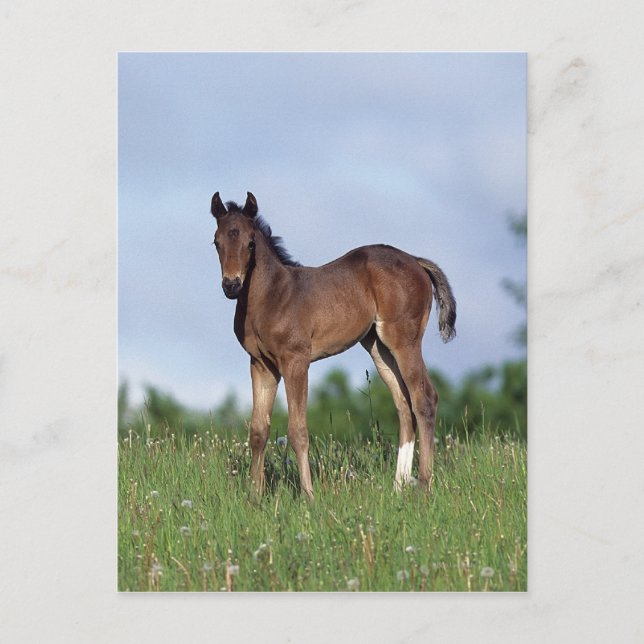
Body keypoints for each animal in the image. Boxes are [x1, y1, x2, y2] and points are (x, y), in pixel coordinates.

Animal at [210, 191, 456, 500]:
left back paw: (423, 485)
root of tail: (415, 260)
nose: (231, 285)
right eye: (216, 242)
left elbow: (298, 430)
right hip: (378, 347)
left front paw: (308, 495)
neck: (272, 296)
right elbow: (257, 431)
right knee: (404, 405)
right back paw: (397, 486)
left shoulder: (296, 361)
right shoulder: (261, 365)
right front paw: (254, 497)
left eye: (250, 243)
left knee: (424, 399)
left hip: (404, 340)